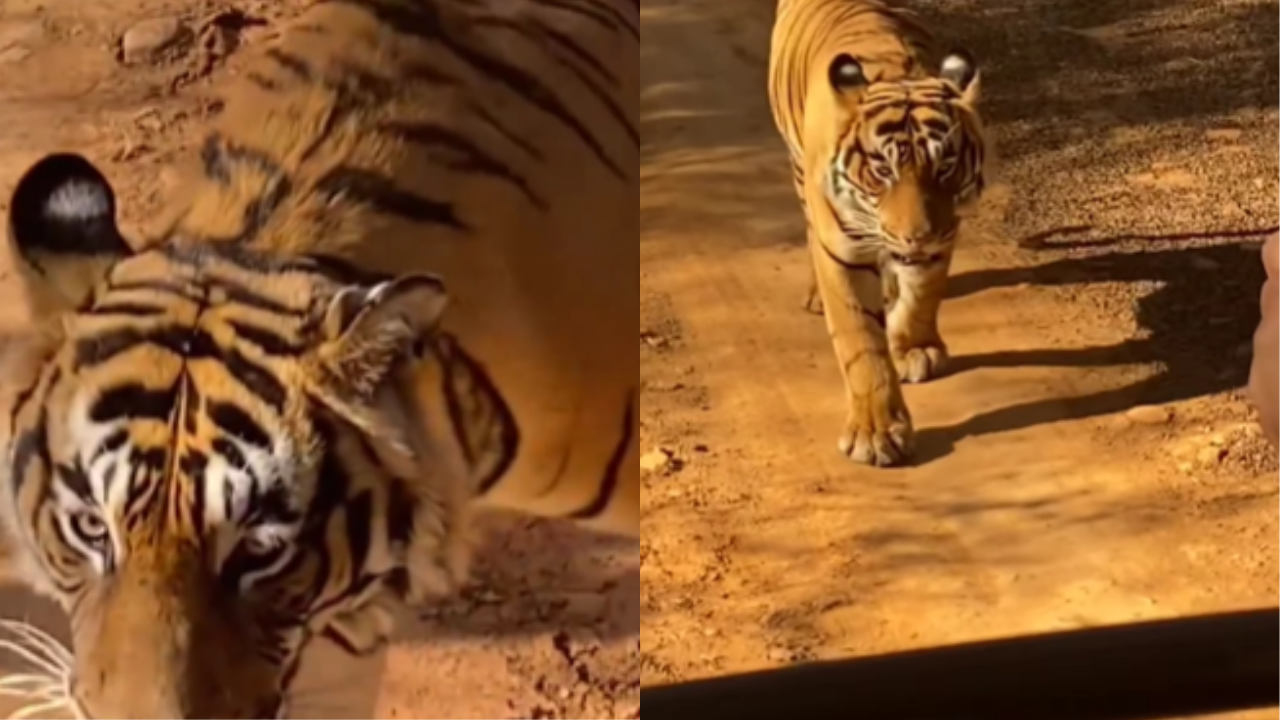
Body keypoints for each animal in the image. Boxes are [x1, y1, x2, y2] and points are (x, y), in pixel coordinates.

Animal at [762, 0, 983, 466]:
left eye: (945, 166)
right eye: (883, 171)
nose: (918, 235)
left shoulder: (946, 230)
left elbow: (923, 294)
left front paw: (914, 348)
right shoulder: (840, 250)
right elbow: (861, 343)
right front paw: (877, 433)